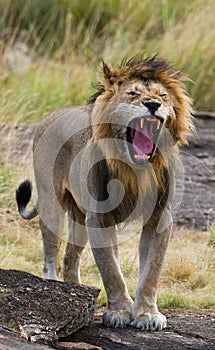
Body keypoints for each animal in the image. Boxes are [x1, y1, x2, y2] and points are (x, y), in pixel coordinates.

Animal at [15, 55, 193, 330]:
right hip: (50, 203)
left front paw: (146, 313)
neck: (136, 170)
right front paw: (120, 311)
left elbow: (151, 270)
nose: (152, 105)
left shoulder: (159, 218)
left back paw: (75, 292)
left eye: (162, 96)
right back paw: (52, 285)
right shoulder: (98, 218)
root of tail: (54, 114)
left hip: (78, 217)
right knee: (51, 252)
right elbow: (110, 269)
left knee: (70, 258)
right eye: (132, 93)